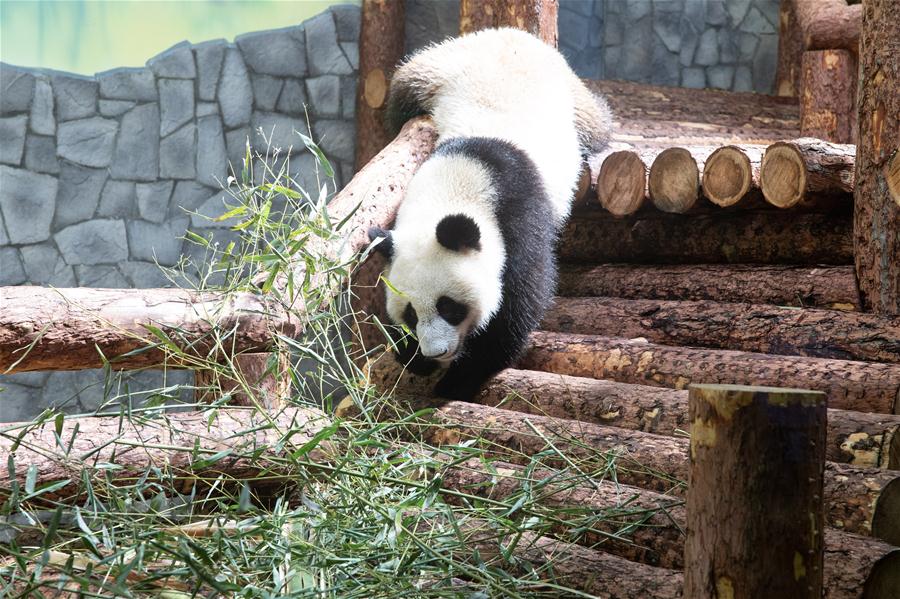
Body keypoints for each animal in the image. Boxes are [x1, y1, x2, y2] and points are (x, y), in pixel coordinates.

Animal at [368, 27, 612, 401]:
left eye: (448, 306)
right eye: (410, 313)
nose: (436, 351)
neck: (464, 170)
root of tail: (507, 32)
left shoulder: (519, 214)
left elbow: (518, 304)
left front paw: (457, 381)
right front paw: (412, 356)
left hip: (570, 95)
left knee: (596, 123)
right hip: (429, 72)